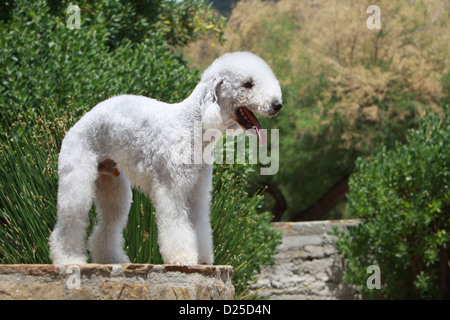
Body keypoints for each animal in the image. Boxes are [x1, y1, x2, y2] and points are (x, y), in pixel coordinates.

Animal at [49, 51, 282, 264]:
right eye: (247, 84)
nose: (277, 105)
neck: (192, 126)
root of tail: (79, 122)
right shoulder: (172, 189)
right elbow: (176, 225)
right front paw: (183, 258)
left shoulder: (198, 191)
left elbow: (199, 225)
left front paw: (203, 259)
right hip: (77, 179)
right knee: (68, 224)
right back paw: (69, 259)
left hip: (113, 186)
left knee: (106, 228)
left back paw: (112, 259)